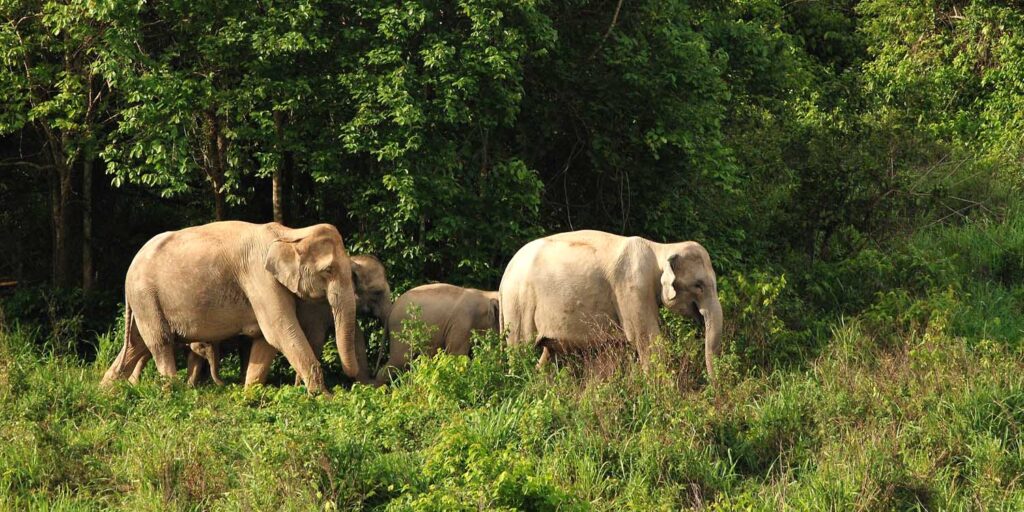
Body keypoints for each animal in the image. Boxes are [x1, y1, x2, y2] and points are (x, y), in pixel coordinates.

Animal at [99, 220, 370, 391]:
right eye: (328, 270)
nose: (351, 379)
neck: (289, 232)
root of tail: (130, 268)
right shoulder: (259, 277)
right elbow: (280, 331)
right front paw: (325, 398)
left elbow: (265, 340)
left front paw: (249, 395)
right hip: (145, 295)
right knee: (160, 341)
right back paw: (172, 392)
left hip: (144, 301)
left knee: (137, 345)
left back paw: (106, 391)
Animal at [499, 231, 724, 380]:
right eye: (698, 285)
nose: (711, 385)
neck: (661, 248)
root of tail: (503, 278)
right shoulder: (633, 288)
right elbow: (647, 340)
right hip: (518, 304)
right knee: (520, 350)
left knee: (548, 354)